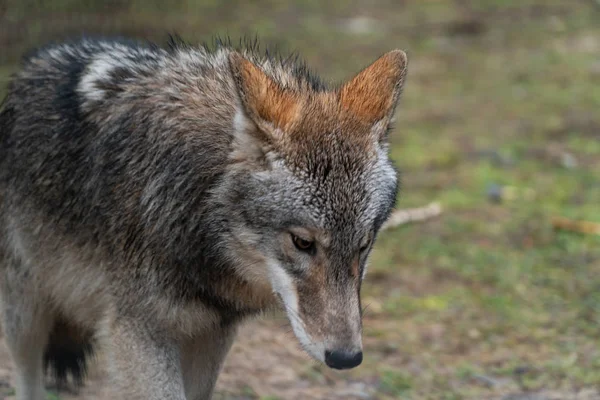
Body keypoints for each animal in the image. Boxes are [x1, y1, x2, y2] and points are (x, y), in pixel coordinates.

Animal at [0, 36, 408, 398]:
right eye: (302, 243)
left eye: (363, 245)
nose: (346, 358)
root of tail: (35, 64)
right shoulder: (138, 332)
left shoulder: (213, 331)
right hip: (26, 316)